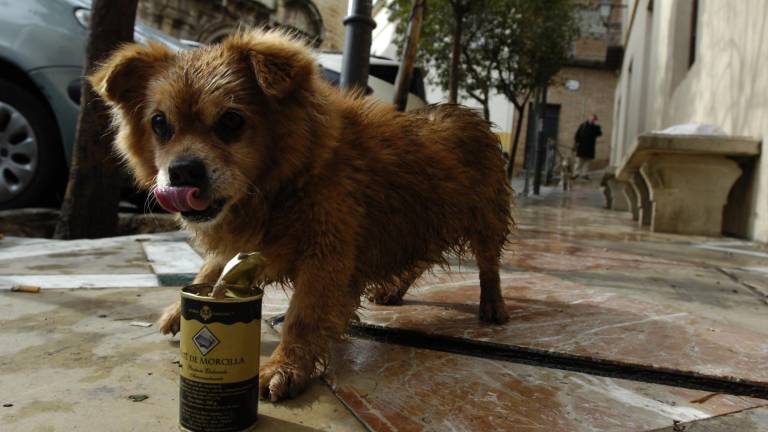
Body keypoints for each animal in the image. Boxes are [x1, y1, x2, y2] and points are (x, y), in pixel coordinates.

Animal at [93, 29, 516, 402]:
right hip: (420, 224)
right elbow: (213, 268)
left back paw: (493, 305)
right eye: (160, 124)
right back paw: (393, 291)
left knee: (488, 265)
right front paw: (180, 308)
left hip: (484, 220)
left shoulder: (326, 255)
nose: (182, 172)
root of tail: (472, 116)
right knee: (418, 260)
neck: (288, 179)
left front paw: (285, 367)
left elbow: (303, 317)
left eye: (231, 121)